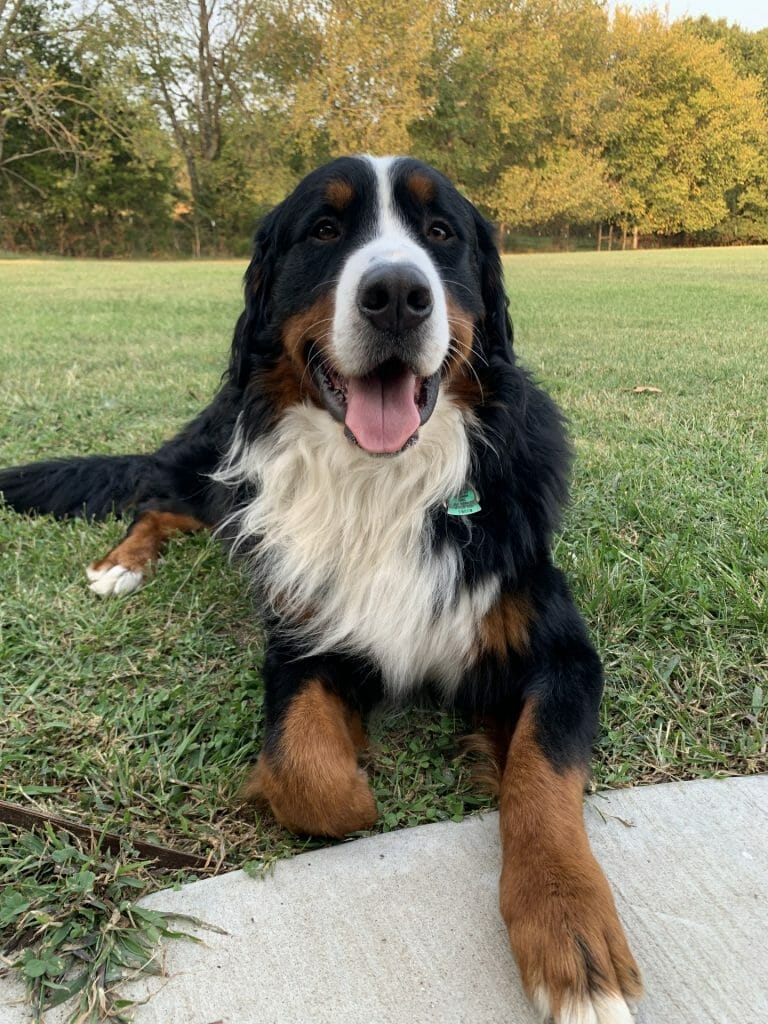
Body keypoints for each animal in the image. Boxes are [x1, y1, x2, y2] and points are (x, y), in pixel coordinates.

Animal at [0, 155, 643, 1019]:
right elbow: (315, 779)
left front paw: (570, 930)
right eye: (326, 230)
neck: (383, 481)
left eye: (441, 233)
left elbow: (540, 780)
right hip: (220, 463)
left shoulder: (560, 651)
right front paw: (361, 782)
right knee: (157, 498)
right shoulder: (302, 641)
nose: (398, 294)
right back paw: (120, 565)